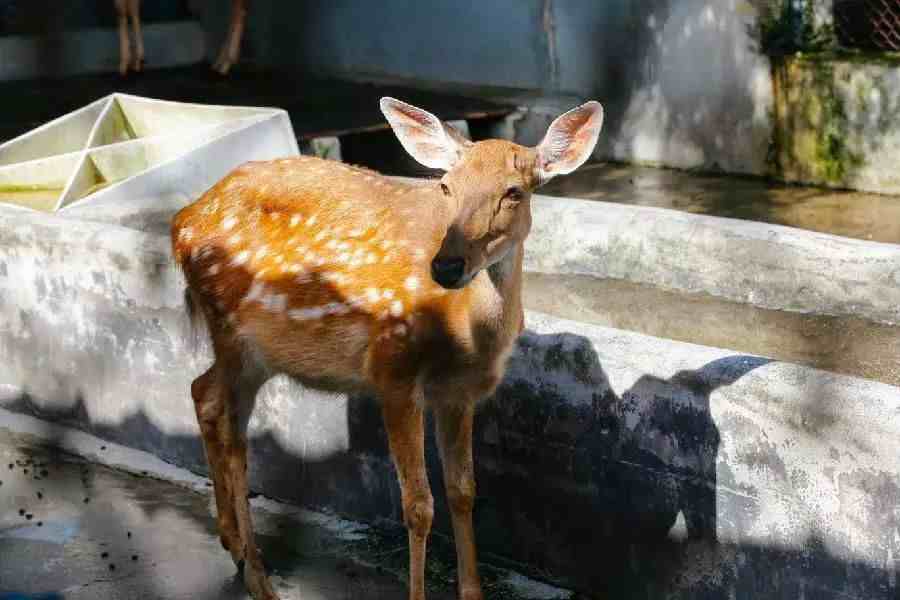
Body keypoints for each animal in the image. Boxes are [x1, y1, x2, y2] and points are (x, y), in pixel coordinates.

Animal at [117, 0, 250, 75]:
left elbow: (123, 8)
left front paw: (128, 60)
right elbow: (129, 7)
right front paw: (135, 59)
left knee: (239, 8)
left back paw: (227, 61)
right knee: (239, 9)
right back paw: (221, 61)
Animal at [169, 96, 604, 596]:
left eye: (514, 191)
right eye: (446, 186)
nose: (447, 265)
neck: (468, 335)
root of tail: (180, 221)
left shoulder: (458, 393)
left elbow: (463, 491)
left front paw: (472, 590)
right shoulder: (392, 370)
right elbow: (418, 505)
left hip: (256, 352)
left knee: (204, 394)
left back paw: (233, 544)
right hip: (231, 330)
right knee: (231, 431)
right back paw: (258, 577)